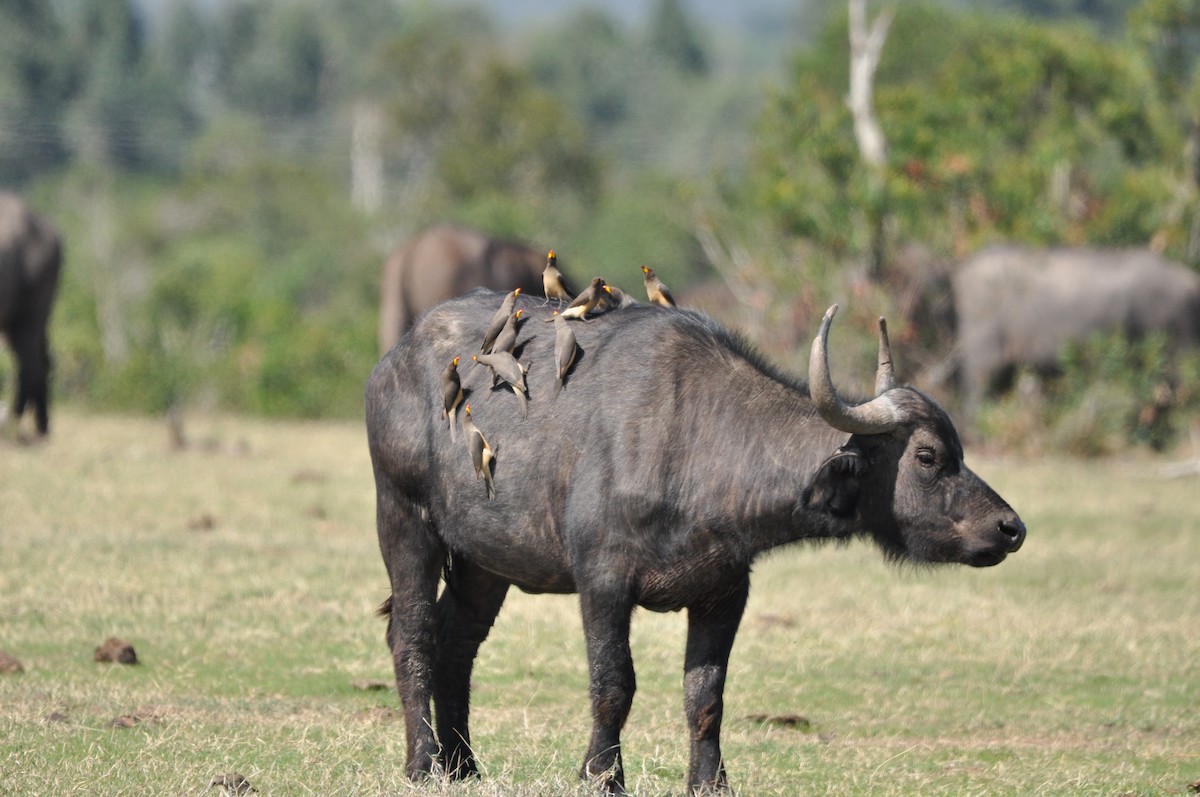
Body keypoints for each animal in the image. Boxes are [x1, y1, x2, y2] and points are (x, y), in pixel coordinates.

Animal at [362, 289, 1022, 792]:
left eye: (957, 448)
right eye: (928, 456)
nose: (1010, 527)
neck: (695, 445)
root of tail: (392, 362)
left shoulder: (723, 593)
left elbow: (706, 695)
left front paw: (710, 781)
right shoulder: (602, 583)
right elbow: (614, 686)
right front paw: (603, 775)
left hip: (483, 563)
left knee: (457, 642)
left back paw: (466, 766)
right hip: (404, 520)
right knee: (413, 634)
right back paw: (423, 763)